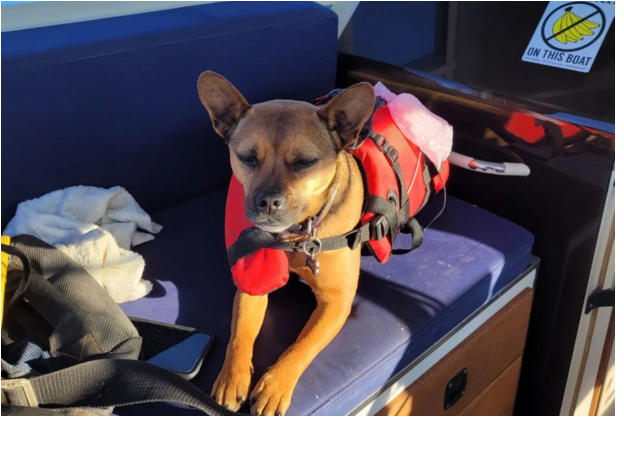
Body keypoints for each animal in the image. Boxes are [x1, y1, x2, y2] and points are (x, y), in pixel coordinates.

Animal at [197, 71, 372, 414]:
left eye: (305, 162)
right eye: (247, 158)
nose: (267, 202)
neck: (297, 235)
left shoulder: (336, 303)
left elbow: (302, 345)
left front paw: (275, 385)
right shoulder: (252, 287)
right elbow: (240, 333)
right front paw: (231, 377)